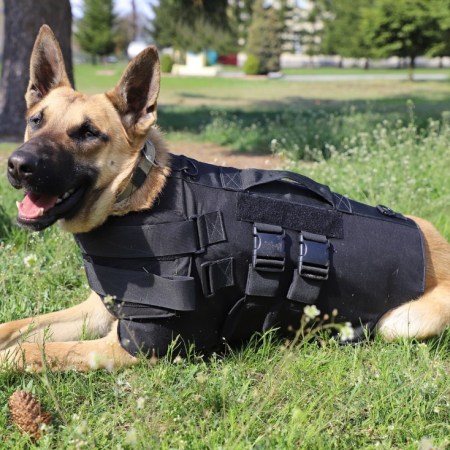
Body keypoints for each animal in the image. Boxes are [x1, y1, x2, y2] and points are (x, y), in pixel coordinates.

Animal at [1, 25, 450, 372]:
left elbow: (26, 352)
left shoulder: (134, 344)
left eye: (88, 133)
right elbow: (15, 329)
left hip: (402, 320)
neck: (135, 195)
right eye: (36, 120)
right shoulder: (97, 310)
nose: (17, 166)